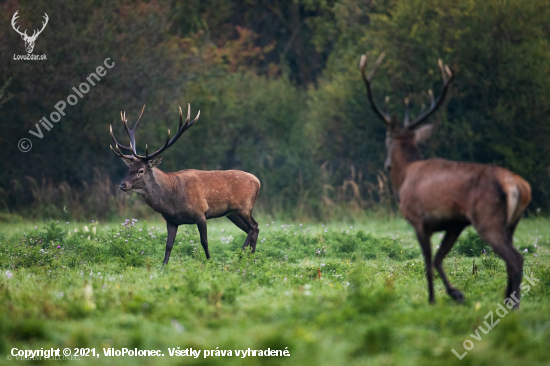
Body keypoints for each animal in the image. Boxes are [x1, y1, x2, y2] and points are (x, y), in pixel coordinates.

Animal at [111, 103, 262, 266]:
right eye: (129, 169)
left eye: (141, 170)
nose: (122, 185)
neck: (172, 200)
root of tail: (258, 181)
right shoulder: (171, 220)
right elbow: (168, 245)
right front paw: (163, 267)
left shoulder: (200, 213)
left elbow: (204, 241)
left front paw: (209, 262)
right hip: (232, 213)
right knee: (253, 229)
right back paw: (250, 258)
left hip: (244, 207)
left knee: (254, 227)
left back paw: (242, 254)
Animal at [360, 51, 532, 308]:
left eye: (386, 140)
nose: (386, 164)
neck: (404, 178)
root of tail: (519, 186)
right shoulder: (455, 223)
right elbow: (438, 259)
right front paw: (456, 294)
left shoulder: (418, 219)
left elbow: (428, 262)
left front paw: (432, 300)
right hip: (512, 223)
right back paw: (506, 300)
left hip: (487, 218)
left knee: (516, 259)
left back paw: (513, 305)